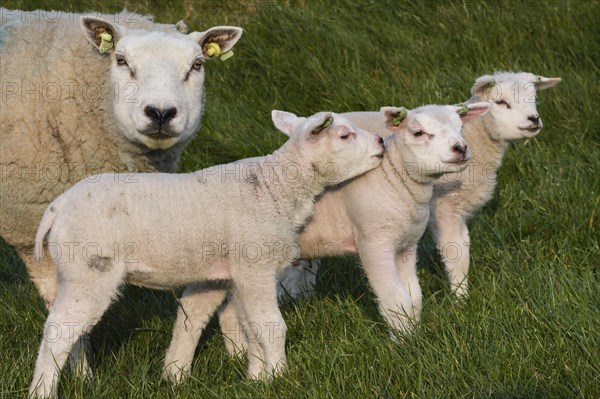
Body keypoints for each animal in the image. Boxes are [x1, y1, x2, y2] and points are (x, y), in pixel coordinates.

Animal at [29, 110, 384, 399]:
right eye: (344, 135)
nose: (381, 142)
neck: (278, 188)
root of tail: (57, 207)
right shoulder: (256, 266)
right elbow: (271, 325)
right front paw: (280, 376)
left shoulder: (233, 273)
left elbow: (249, 328)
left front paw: (257, 379)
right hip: (90, 269)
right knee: (59, 330)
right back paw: (43, 390)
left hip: (76, 273)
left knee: (71, 329)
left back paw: (80, 378)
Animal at [162, 101, 490, 374]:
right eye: (418, 132)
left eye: (461, 128)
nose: (461, 148)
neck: (396, 180)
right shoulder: (375, 243)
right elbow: (395, 299)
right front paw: (403, 345)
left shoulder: (406, 246)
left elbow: (414, 297)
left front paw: (413, 334)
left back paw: (232, 356)